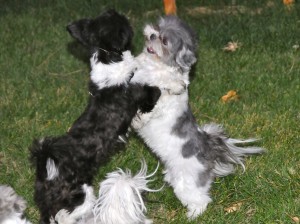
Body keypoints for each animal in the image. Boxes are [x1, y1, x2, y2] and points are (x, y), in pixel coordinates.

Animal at [29, 9, 162, 223]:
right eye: (121, 23)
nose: (124, 16)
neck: (107, 58)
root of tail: (48, 167)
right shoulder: (140, 93)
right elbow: (153, 92)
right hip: (80, 196)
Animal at [131, 16, 264, 220]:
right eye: (158, 27)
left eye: (164, 41)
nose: (152, 34)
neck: (155, 66)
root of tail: (209, 149)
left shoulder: (164, 100)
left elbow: (157, 101)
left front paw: (137, 120)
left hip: (187, 183)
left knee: (202, 201)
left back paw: (193, 215)